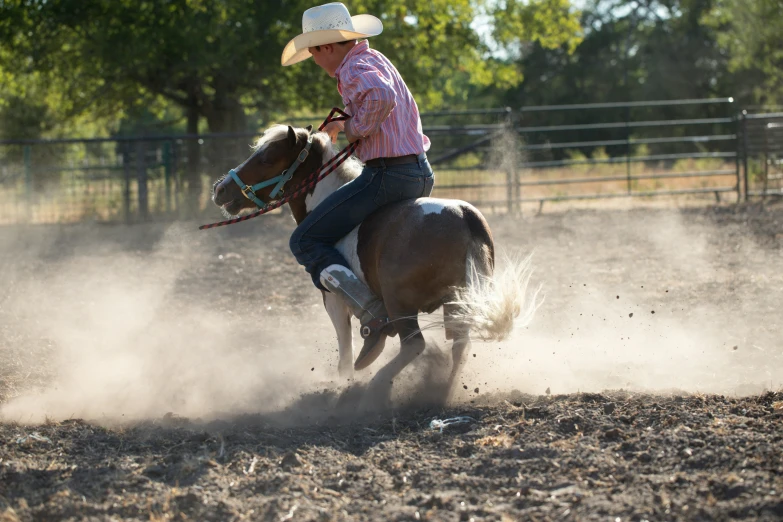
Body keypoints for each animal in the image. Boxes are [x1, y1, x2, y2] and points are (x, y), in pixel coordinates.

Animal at [210, 124, 540, 400]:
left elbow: (345, 351)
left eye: (268, 157)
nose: (220, 189)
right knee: (460, 346)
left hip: (399, 301)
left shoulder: (333, 300)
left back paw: (378, 383)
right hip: (457, 302)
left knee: (414, 344)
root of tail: (463, 216)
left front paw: (346, 384)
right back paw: (441, 392)